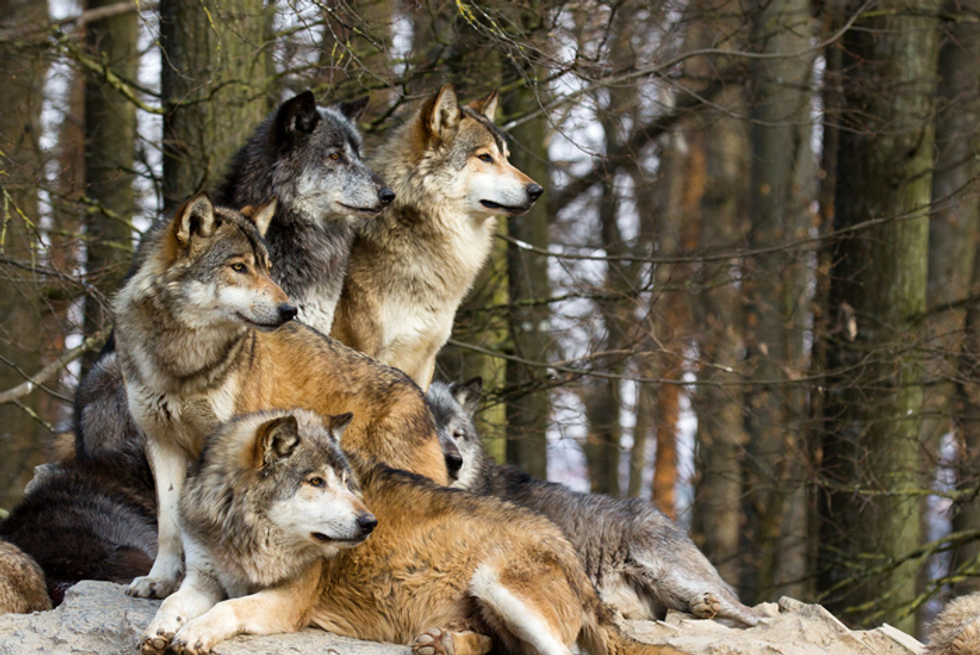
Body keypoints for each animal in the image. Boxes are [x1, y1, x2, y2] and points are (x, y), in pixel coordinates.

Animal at [114, 194, 447, 599]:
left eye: (268, 268)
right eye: (239, 267)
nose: (290, 310)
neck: (183, 361)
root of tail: (419, 395)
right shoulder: (160, 442)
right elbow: (168, 522)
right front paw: (159, 580)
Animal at [139, 408, 691, 655]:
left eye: (347, 482)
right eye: (316, 482)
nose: (368, 523)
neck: (243, 533)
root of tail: (569, 550)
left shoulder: (288, 601)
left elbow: (229, 609)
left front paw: (194, 633)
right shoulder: (203, 576)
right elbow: (175, 603)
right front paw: (161, 629)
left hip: (498, 585)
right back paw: (443, 643)